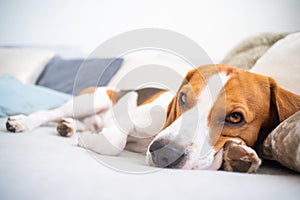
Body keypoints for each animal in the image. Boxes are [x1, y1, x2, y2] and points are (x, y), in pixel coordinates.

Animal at [5, 64, 300, 172]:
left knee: (76, 121)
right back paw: (22, 122)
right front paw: (87, 140)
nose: (164, 153)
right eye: (183, 98)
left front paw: (238, 154)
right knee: (49, 114)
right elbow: (114, 142)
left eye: (235, 117)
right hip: (94, 99)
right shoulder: (131, 110)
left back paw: (68, 128)